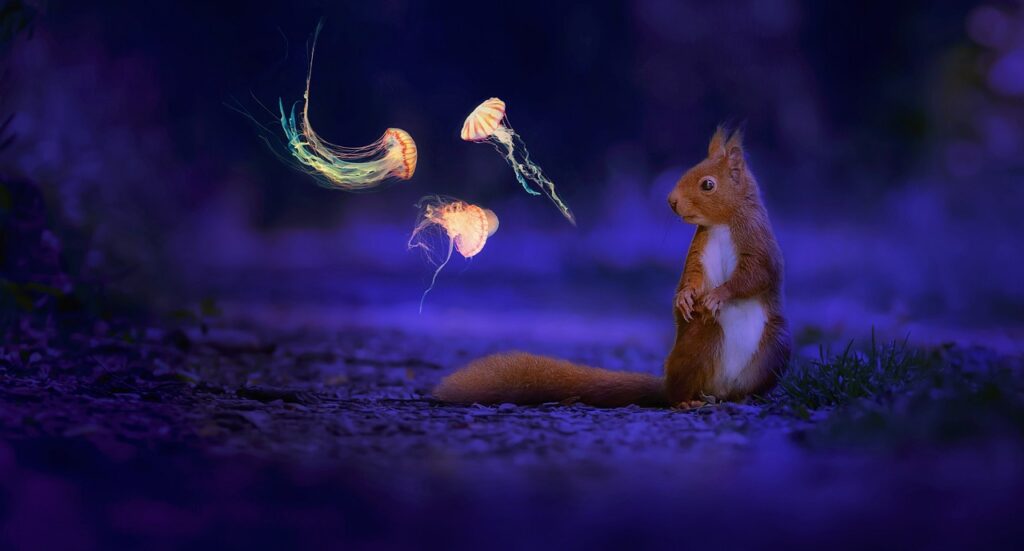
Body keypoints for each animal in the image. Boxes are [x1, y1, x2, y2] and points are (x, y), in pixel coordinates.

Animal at [433, 127, 791, 407]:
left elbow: (754, 276)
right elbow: (692, 277)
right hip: (701, 342)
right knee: (680, 390)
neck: (721, 224)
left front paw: (718, 295)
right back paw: (687, 401)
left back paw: (745, 398)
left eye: (707, 184)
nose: (671, 201)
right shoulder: (699, 250)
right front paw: (684, 298)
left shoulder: (758, 243)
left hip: (774, 350)